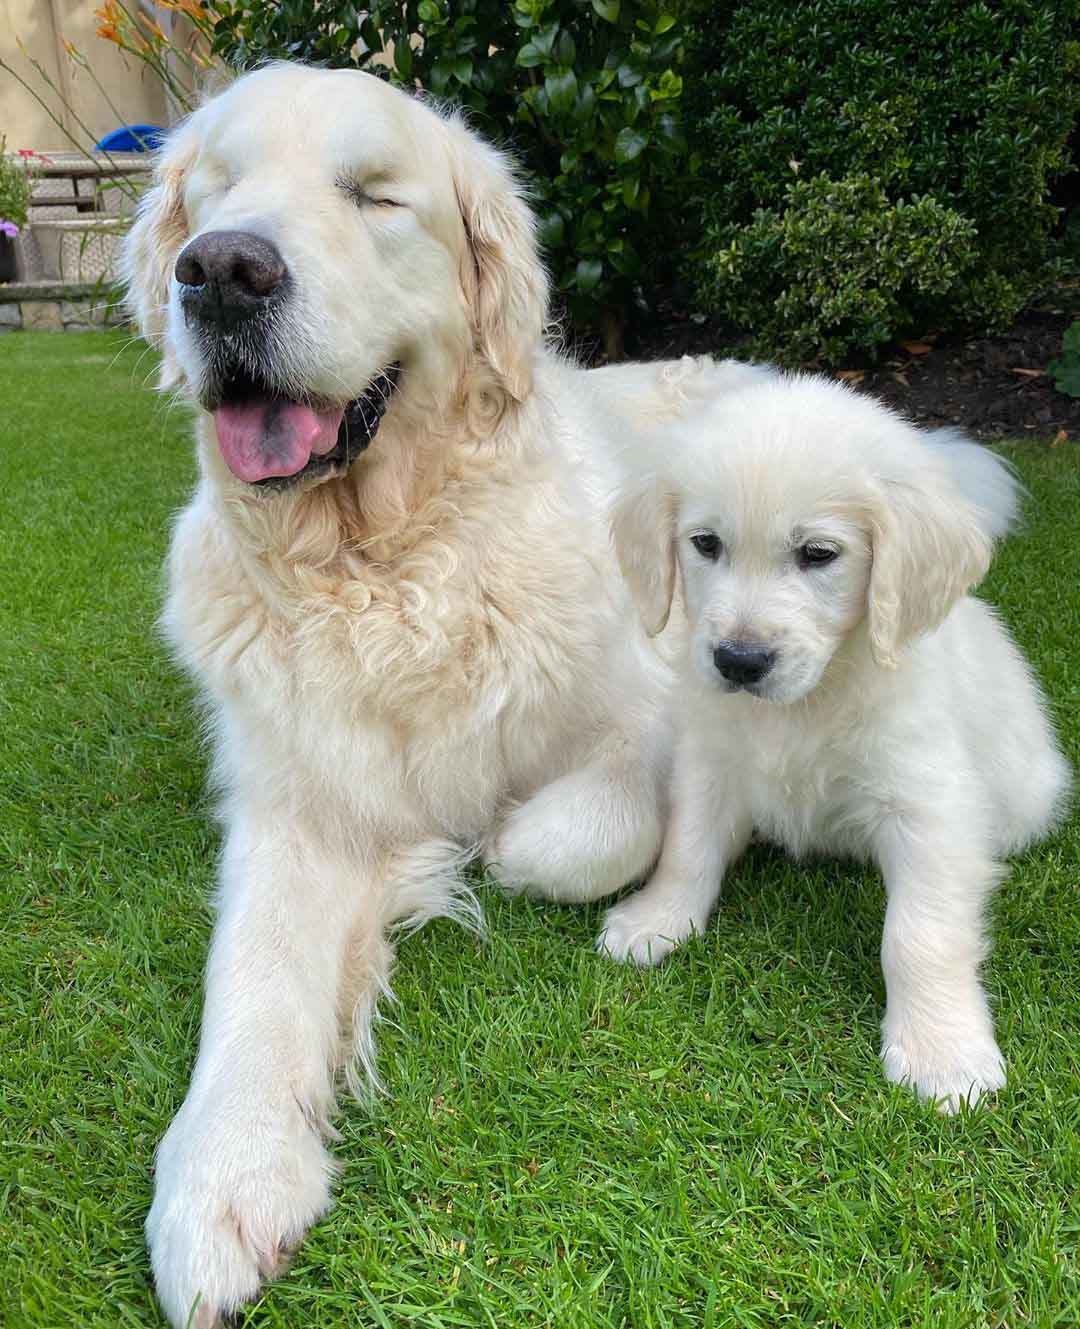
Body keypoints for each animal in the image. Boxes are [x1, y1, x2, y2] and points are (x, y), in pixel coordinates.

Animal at [603, 372, 1068, 1111]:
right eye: (705, 544)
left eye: (818, 555)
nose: (738, 661)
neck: (811, 701)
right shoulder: (710, 762)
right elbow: (687, 848)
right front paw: (657, 919)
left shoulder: (928, 806)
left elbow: (920, 934)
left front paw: (943, 1052)